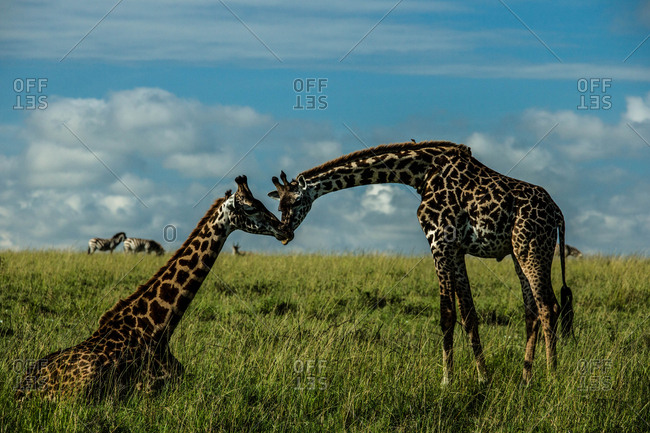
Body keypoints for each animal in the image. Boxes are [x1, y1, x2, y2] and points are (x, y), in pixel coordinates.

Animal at [269, 141, 574, 384]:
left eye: (295, 202)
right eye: (278, 205)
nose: (284, 233)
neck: (421, 172)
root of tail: (558, 213)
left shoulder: (439, 242)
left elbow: (446, 314)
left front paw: (446, 380)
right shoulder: (456, 250)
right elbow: (469, 315)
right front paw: (483, 377)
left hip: (533, 249)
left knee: (548, 306)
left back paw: (552, 376)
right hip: (518, 253)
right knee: (531, 310)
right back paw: (526, 378)